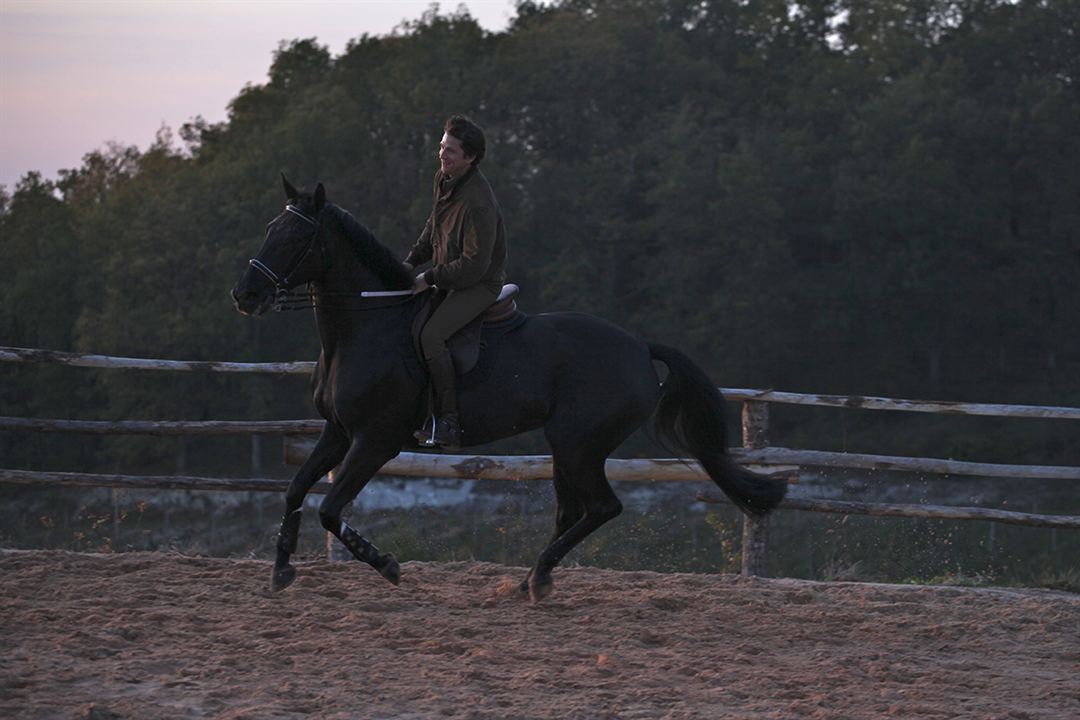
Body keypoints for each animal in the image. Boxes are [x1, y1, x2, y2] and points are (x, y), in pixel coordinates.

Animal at [232, 177, 786, 600]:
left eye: (295, 236)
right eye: (271, 228)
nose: (245, 294)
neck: (369, 326)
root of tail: (638, 346)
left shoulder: (375, 440)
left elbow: (330, 509)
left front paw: (386, 564)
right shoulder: (338, 433)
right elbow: (296, 489)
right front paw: (282, 570)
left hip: (577, 443)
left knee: (601, 508)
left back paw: (535, 580)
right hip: (569, 447)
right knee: (572, 512)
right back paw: (530, 579)